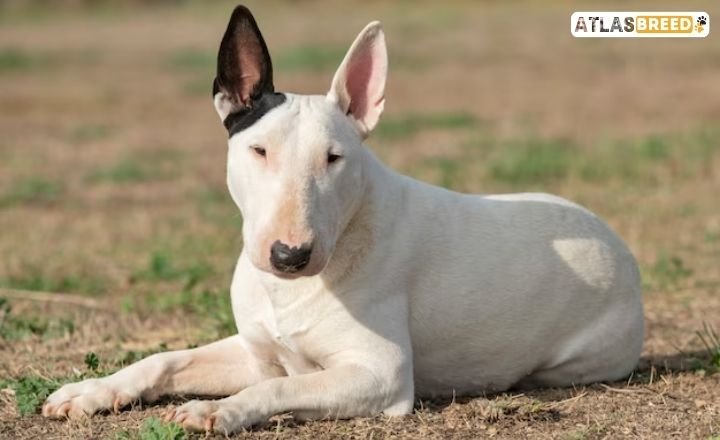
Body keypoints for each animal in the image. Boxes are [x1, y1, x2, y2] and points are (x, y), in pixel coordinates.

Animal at [42, 5, 644, 434]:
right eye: (258, 150)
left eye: (334, 158)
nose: (289, 256)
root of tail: (614, 239)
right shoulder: (258, 352)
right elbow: (167, 359)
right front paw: (89, 391)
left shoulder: (381, 372)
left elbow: (279, 390)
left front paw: (219, 410)